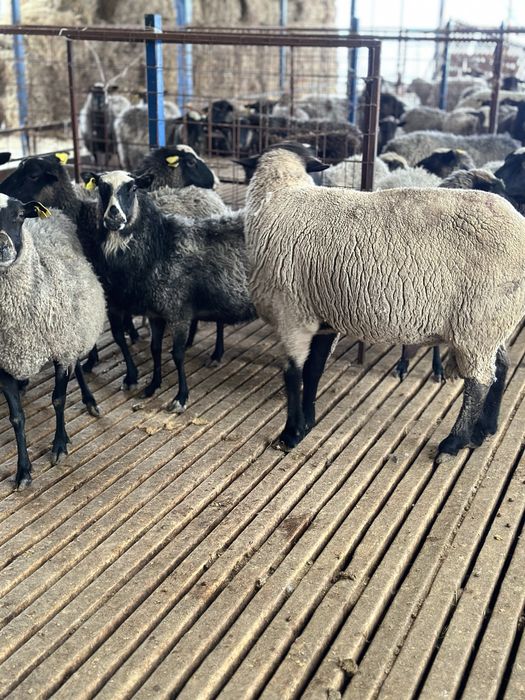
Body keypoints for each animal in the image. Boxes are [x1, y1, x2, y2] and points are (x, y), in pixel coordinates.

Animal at [0, 195, 105, 487]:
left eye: (18, 215)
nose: (2, 247)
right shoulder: (3, 363)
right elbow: (17, 418)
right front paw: (23, 471)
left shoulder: (62, 350)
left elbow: (58, 400)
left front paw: (59, 445)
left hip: (75, 329)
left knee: (78, 364)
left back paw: (90, 401)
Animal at [79, 170, 256, 409]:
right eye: (101, 186)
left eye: (133, 187)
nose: (114, 216)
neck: (159, 246)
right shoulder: (155, 313)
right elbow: (155, 349)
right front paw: (153, 386)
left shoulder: (177, 311)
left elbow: (177, 354)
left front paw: (181, 397)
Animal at [243, 142, 525, 464]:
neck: (280, 198)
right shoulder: (323, 318)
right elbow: (313, 370)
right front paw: (308, 423)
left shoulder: (292, 312)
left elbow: (292, 374)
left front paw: (290, 434)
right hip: (494, 319)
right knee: (501, 367)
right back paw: (484, 430)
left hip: (479, 319)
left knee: (479, 381)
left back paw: (454, 442)